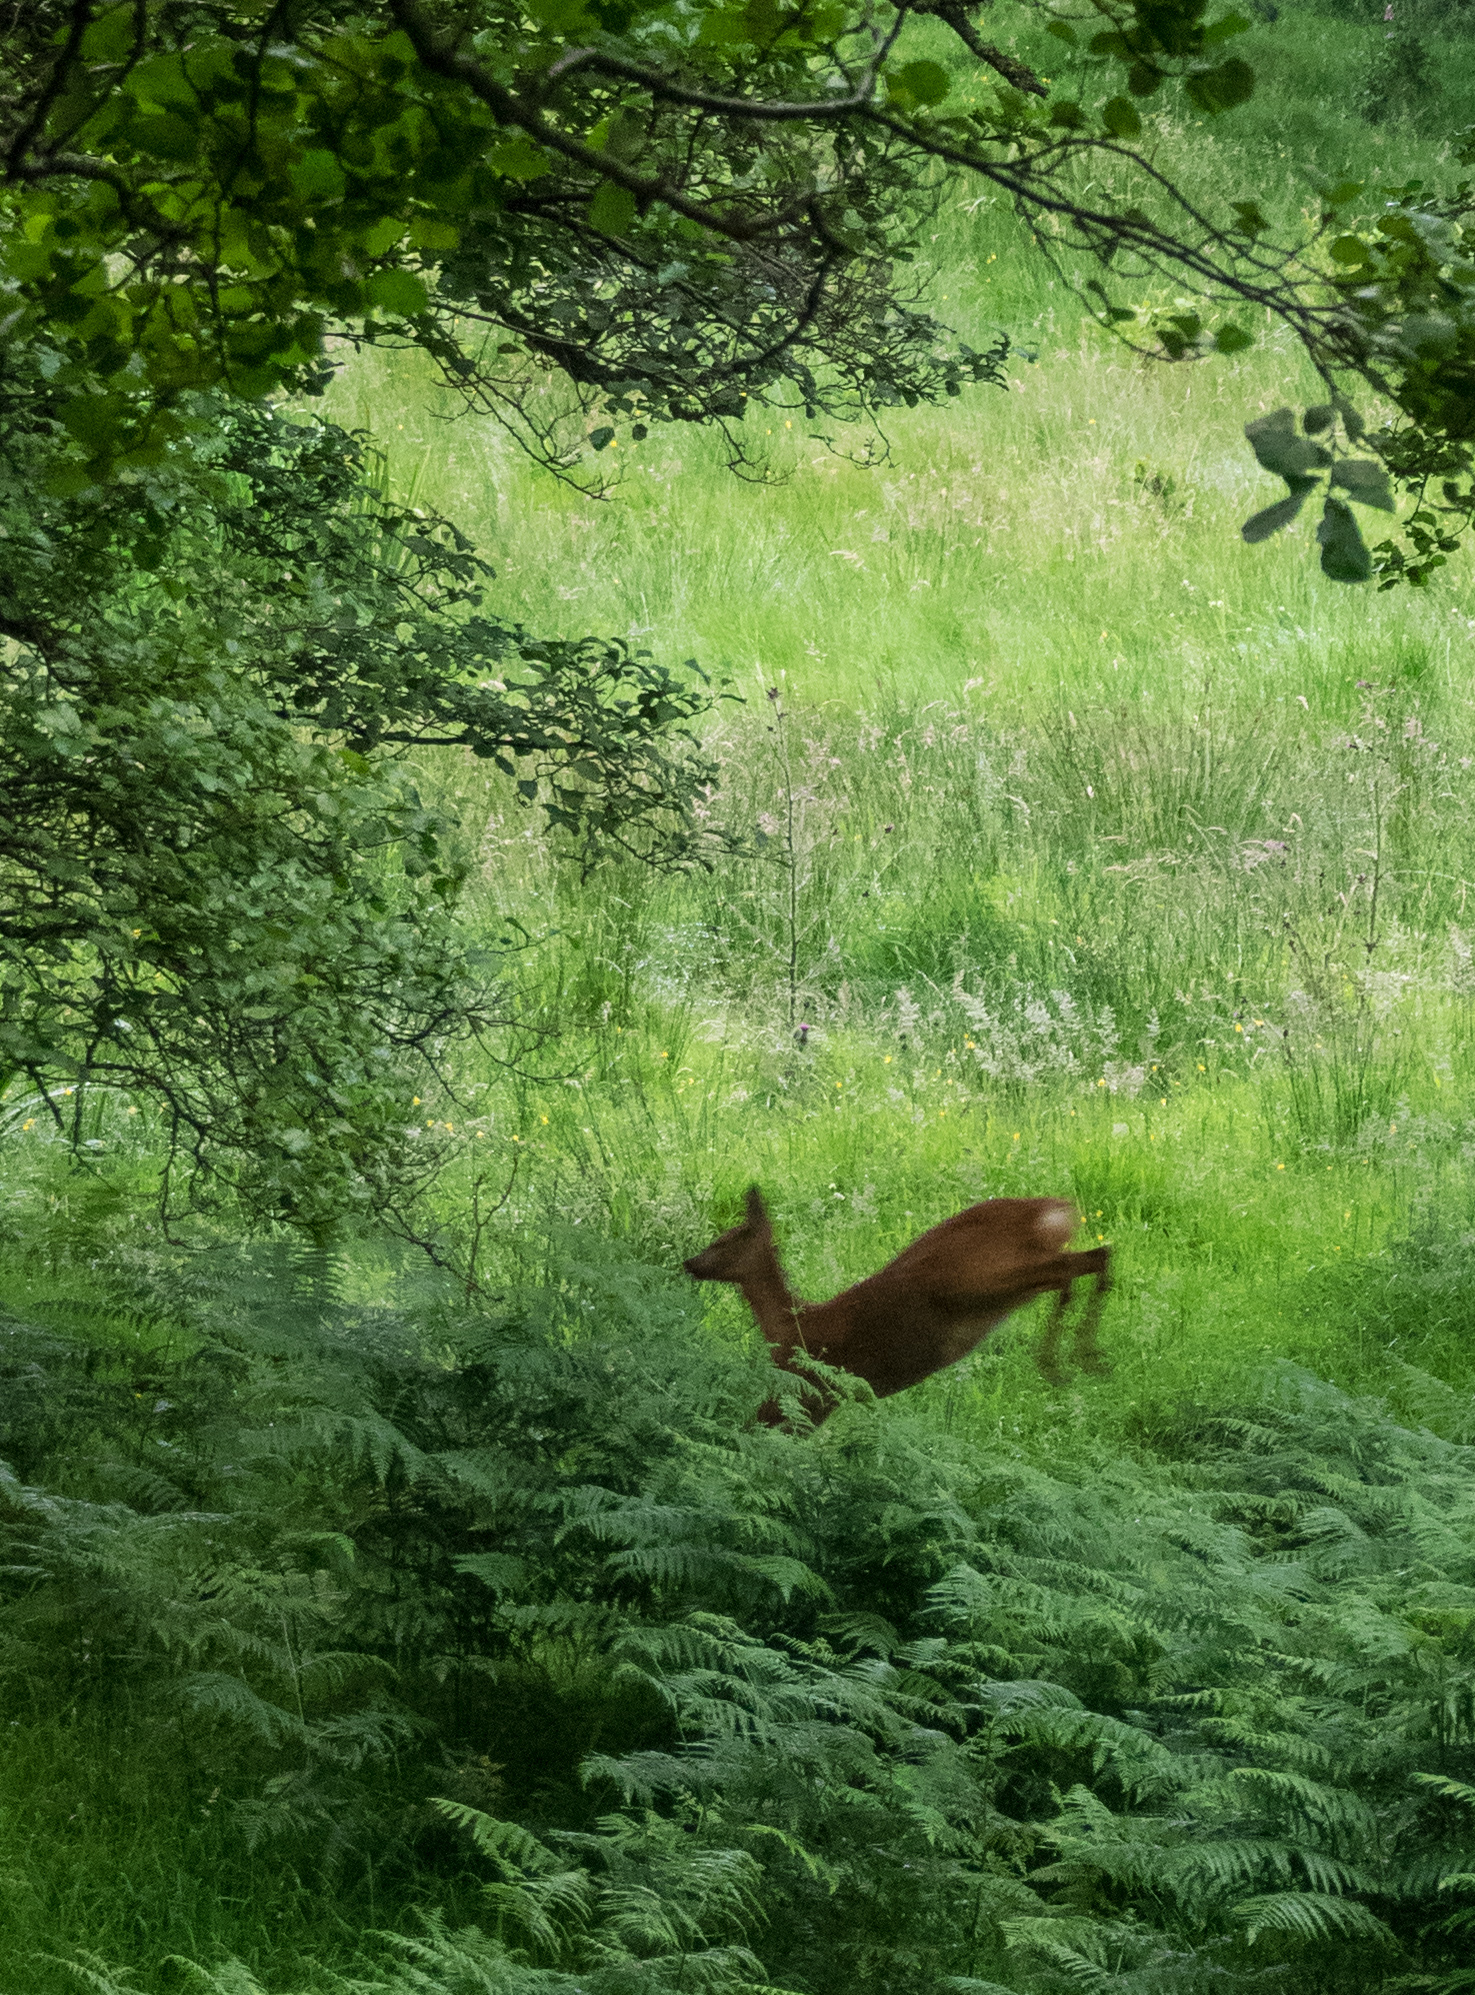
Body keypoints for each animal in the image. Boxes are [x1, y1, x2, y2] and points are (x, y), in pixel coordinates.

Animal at [686, 1181, 1109, 1436]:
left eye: (724, 1241)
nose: (690, 1262)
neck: (789, 1324)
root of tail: (1050, 1211)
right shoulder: (824, 1398)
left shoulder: (808, 1385)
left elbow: (756, 1427)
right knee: (1098, 1255)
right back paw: (1084, 1358)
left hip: (978, 1277)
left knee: (1069, 1272)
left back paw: (1057, 1361)